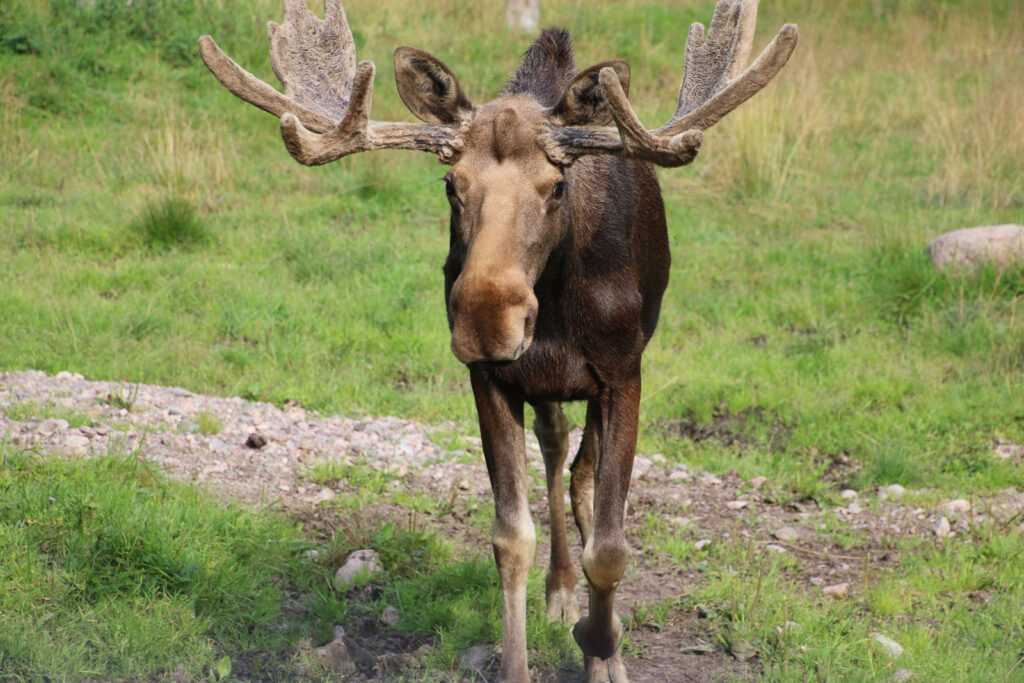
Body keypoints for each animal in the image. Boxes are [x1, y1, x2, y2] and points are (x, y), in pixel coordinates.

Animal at [199, 1, 796, 681]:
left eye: (557, 185)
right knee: (556, 447)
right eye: (450, 185)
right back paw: (560, 591)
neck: (559, 309)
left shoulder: (623, 373)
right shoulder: (490, 378)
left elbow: (610, 547)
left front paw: (603, 649)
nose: (488, 319)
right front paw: (532, 650)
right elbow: (511, 538)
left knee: (582, 477)